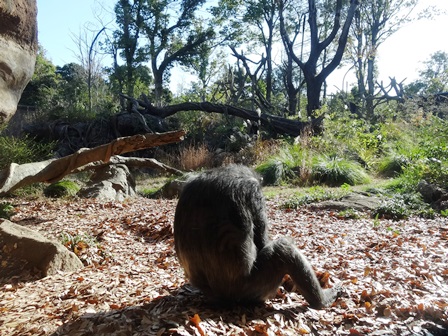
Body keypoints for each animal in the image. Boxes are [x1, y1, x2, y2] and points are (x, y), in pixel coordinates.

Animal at [173, 164, 342, 308]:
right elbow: (263, 241)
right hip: (252, 292)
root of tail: (221, 300)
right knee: (283, 249)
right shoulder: (253, 193)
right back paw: (323, 300)